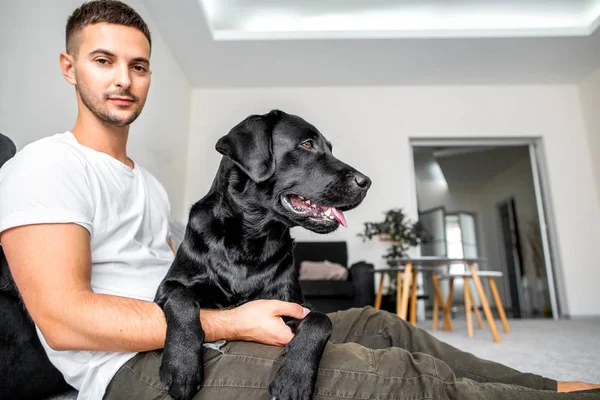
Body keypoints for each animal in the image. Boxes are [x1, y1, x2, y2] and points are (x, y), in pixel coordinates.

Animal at [155, 110, 370, 400]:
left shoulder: (293, 304)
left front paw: (294, 379)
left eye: (330, 149)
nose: (366, 182)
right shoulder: (167, 287)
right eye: (307, 144)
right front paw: (181, 366)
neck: (250, 239)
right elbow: (182, 299)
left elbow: (320, 320)